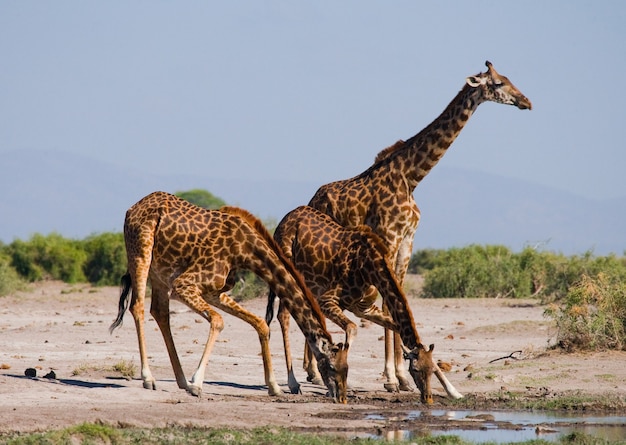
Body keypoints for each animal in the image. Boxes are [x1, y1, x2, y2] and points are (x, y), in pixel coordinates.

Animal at [109, 191, 348, 402]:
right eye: (332, 366)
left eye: (347, 368)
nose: (341, 397)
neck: (245, 249)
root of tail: (132, 208)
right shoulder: (184, 285)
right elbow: (218, 321)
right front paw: (197, 384)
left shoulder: (215, 292)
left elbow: (261, 324)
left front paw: (275, 388)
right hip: (141, 253)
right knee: (138, 307)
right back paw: (149, 379)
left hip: (160, 273)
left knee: (159, 312)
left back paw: (181, 381)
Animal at [260, 205, 460, 402]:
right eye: (416, 370)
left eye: (432, 370)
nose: (427, 398)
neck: (370, 267)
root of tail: (283, 221)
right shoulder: (327, 300)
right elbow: (352, 329)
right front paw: (336, 386)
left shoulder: (364, 308)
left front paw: (454, 392)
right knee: (283, 316)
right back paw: (293, 383)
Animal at [304, 60, 528, 390]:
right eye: (498, 83)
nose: (527, 102)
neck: (411, 177)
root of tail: (312, 199)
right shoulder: (389, 238)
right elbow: (388, 302)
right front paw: (391, 378)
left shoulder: (408, 242)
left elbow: (399, 299)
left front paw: (399, 375)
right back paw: (312, 371)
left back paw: (310, 370)